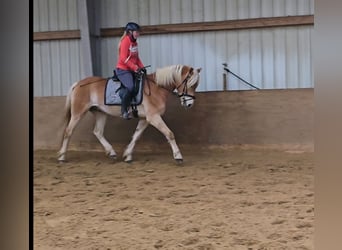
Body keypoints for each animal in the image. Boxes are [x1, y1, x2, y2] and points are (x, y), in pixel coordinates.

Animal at [57, 63, 202, 163]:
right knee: (68, 132)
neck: (156, 88)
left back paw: (111, 152)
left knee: (98, 132)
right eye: (190, 84)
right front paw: (178, 156)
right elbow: (169, 134)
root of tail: (78, 84)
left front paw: (127, 155)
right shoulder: (154, 117)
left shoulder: (145, 119)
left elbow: (136, 136)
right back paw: (62, 156)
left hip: (100, 113)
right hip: (78, 113)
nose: (189, 104)